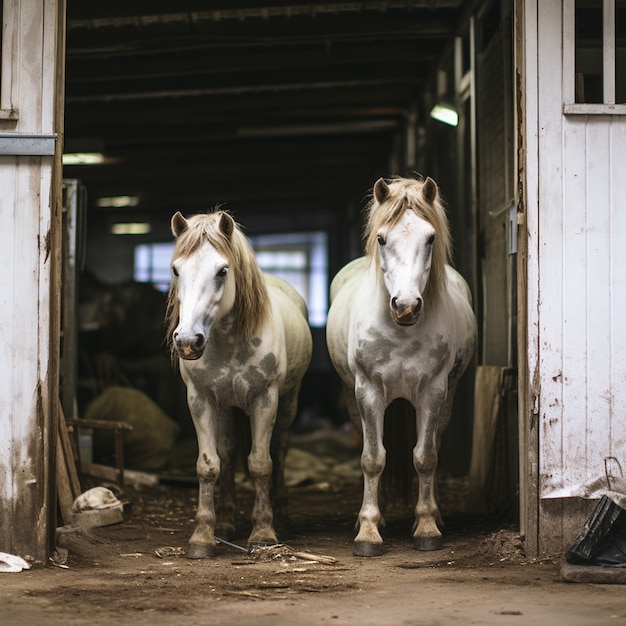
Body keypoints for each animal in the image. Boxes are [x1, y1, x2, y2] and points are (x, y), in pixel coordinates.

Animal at [166, 210, 312, 556]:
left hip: (288, 403)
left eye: (222, 270)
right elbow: (209, 465)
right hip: (227, 409)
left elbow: (260, 464)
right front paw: (203, 536)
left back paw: (282, 518)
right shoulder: (201, 400)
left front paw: (264, 532)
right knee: (230, 454)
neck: (228, 339)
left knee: (280, 451)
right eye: (176, 270)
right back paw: (228, 522)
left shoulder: (265, 400)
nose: (188, 341)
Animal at [324, 176, 476, 556]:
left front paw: (426, 527)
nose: (406, 306)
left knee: (435, 444)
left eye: (431, 237)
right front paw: (368, 531)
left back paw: (436, 514)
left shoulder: (433, 391)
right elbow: (372, 459)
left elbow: (426, 457)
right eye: (381, 238)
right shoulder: (368, 392)